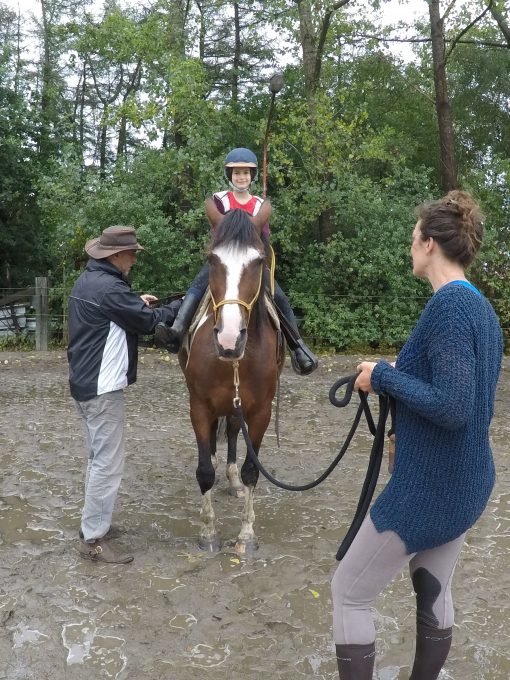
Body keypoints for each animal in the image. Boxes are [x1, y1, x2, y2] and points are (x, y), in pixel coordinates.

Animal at [178, 202, 282, 552]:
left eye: (259, 261)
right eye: (212, 259)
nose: (228, 338)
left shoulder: (261, 411)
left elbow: (252, 471)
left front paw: (246, 536)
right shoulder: (199, 407)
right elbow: (204, 471)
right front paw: (208, 533)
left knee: (235, 433)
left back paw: (233, 479)